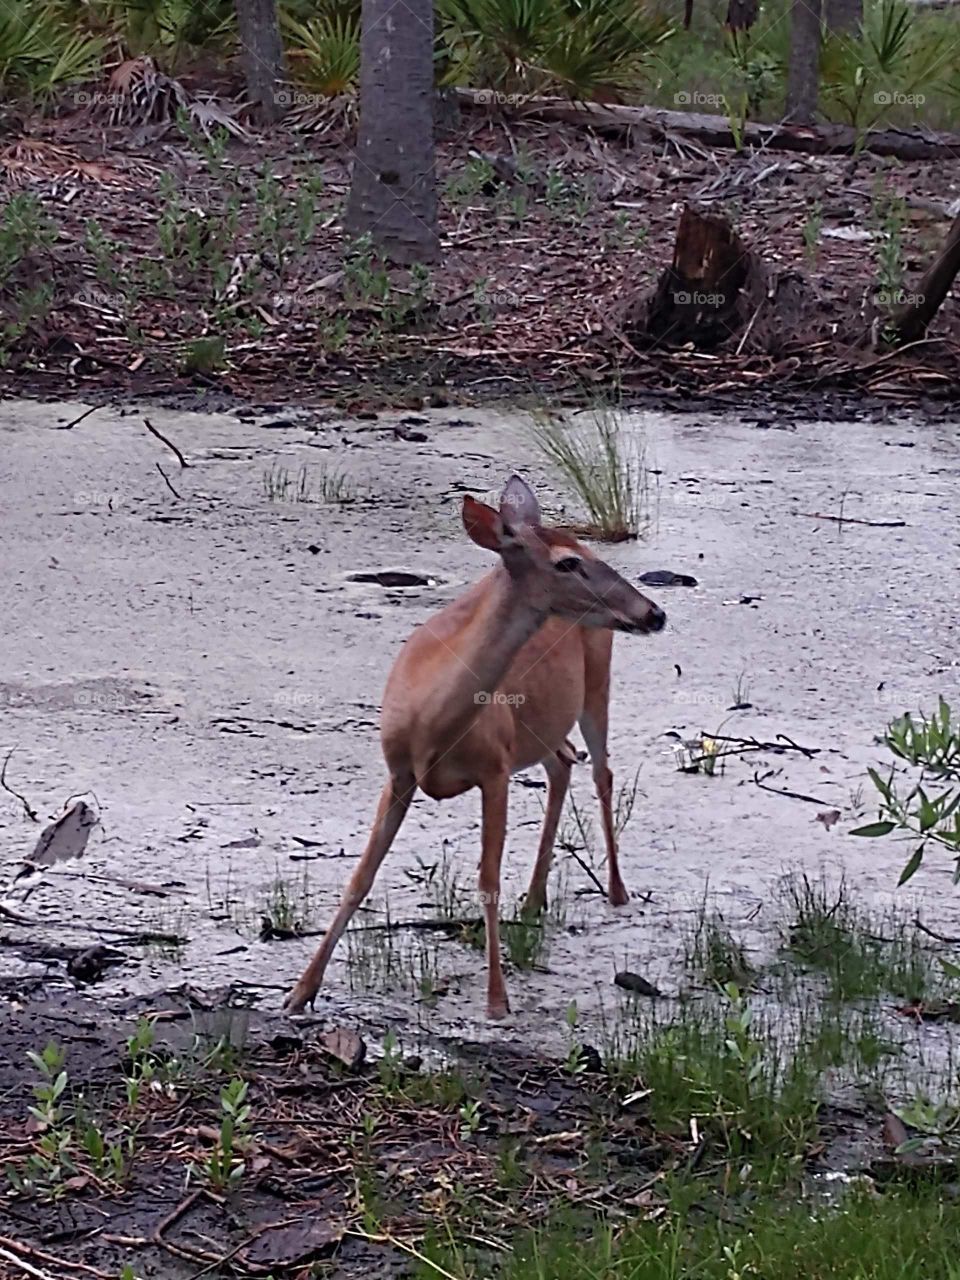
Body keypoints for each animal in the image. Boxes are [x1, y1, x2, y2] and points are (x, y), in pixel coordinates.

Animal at [284, 475, 666, 1020]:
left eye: (579, 555)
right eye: (567, 563)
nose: (654, 611)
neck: (433, 723)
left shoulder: (495, 768)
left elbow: (487, 880)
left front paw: (497, 1000)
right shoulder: (398, 773)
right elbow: (360, 878)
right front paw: (299, 991)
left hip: (597, 681)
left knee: (601, 772)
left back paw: (614, 890)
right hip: (543, 723)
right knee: (564, 762)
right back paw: (534, 899)